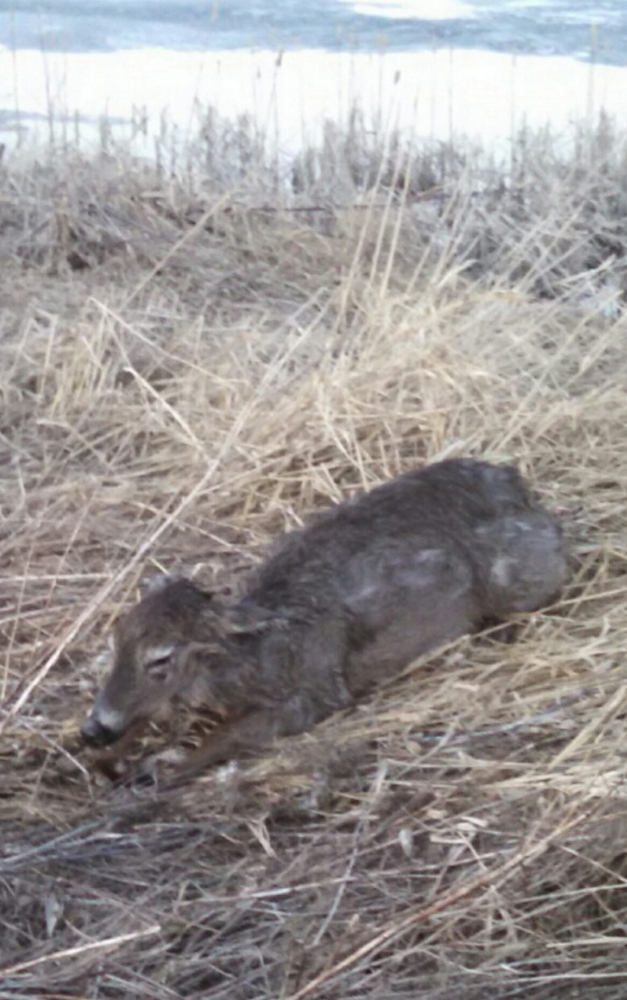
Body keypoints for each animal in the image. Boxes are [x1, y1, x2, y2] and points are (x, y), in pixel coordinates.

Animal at [80, 458, 567, 781]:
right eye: (116, 643)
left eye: (160, 659)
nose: (92, 729)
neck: (259, 661)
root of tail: (517, 481)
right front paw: (109, 757)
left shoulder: (316, 689)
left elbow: (220, 739)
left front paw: (152, 774)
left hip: (515, 580)